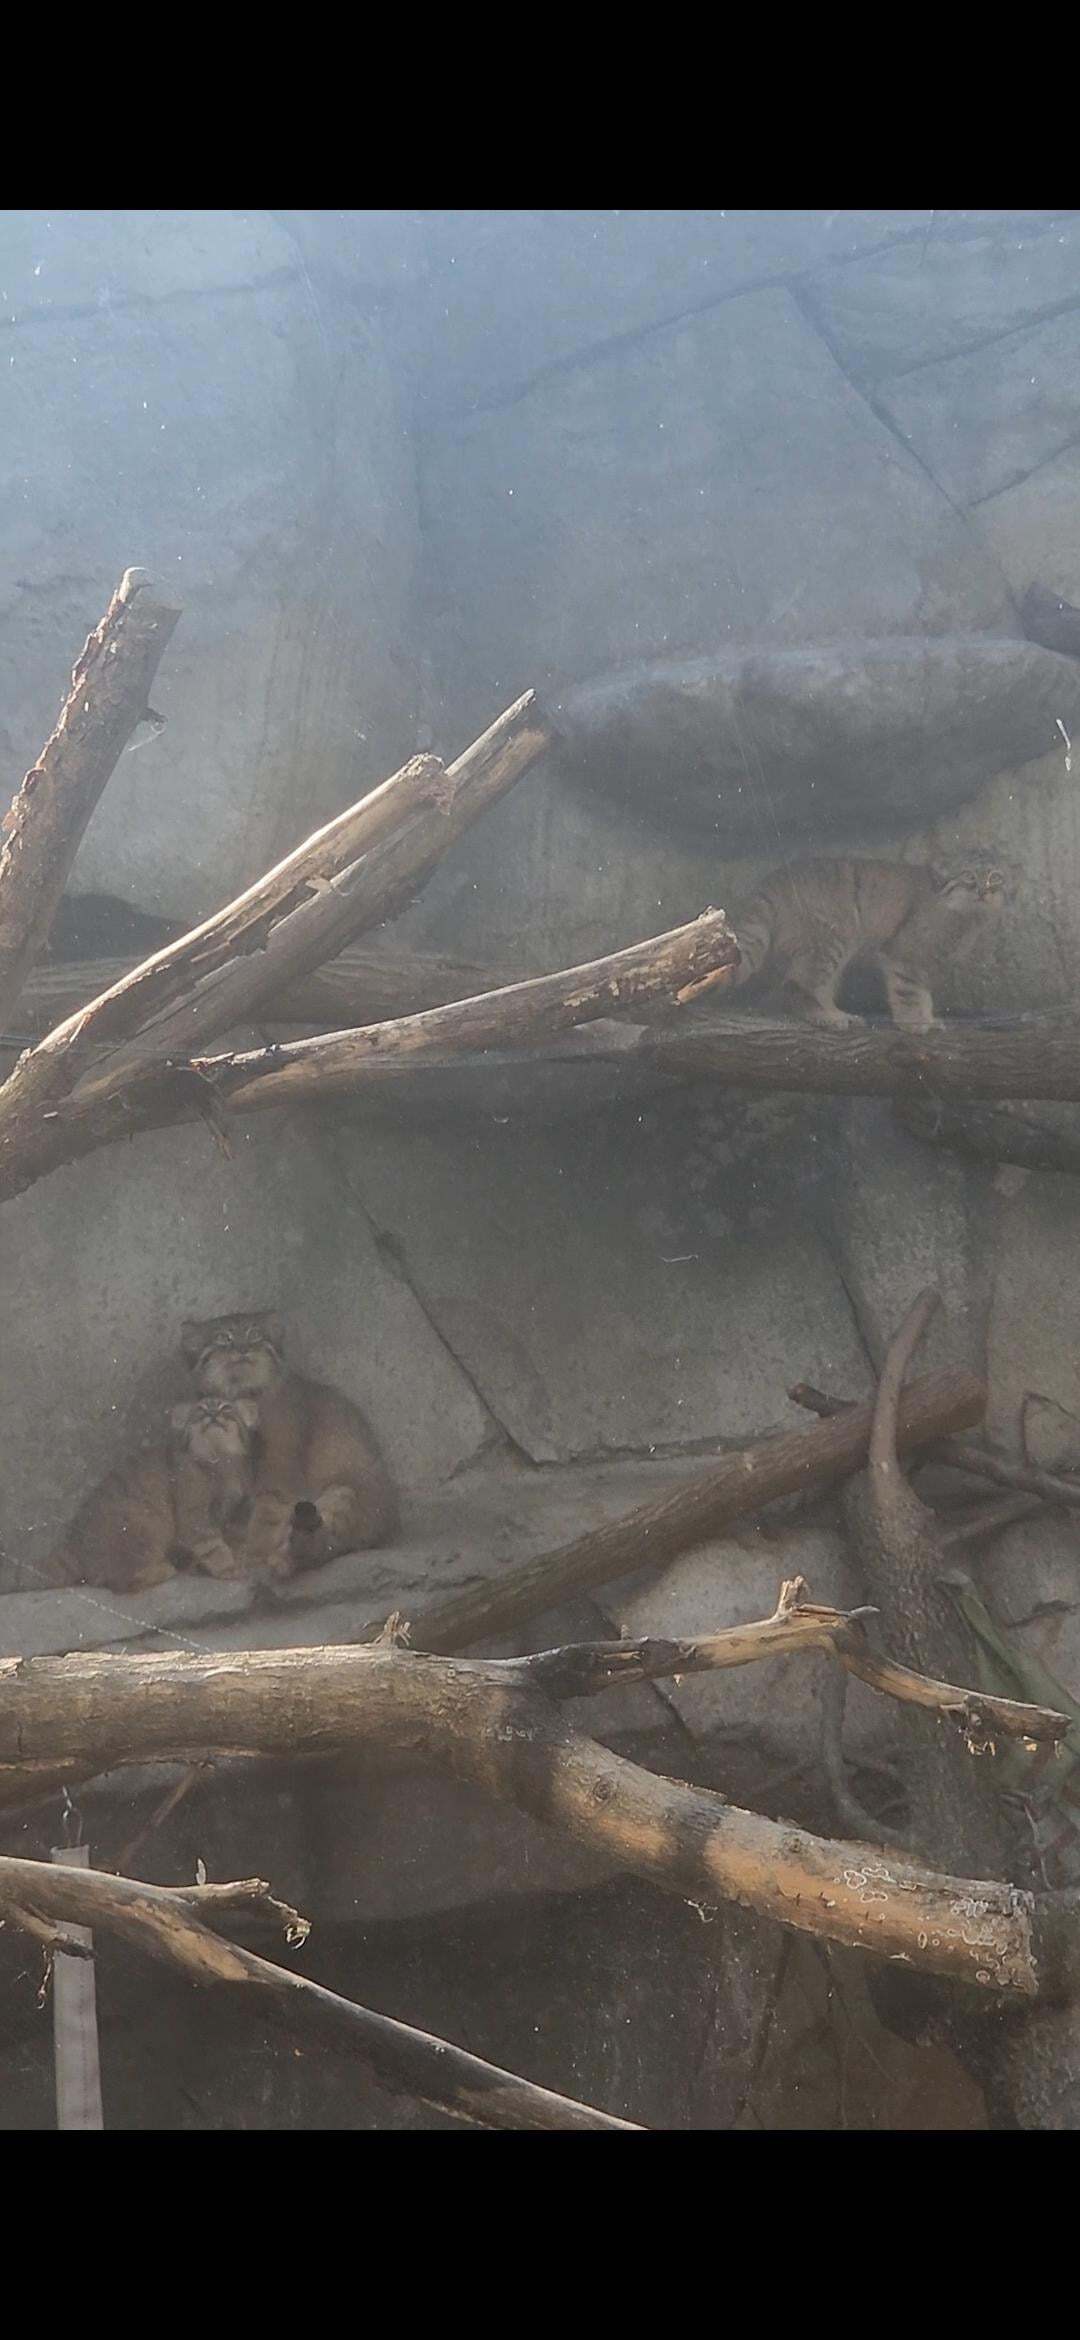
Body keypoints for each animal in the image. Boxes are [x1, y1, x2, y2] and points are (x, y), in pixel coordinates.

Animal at [50, 1394, 261, 1600]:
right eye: (200, 1409)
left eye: (226, 1407)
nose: (212, 1413)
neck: (219, 1459)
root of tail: (73, 1545)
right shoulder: (194, 1513)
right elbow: (213, 1546)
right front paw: (228, 1568)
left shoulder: (232, 1510)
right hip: (146, 1524)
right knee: (120, 1584)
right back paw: (163, 1569)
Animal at [729, 847, 1009, 1020]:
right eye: (969, 876)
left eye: (995, 877)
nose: (984, 891)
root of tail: (772, 879)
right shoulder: (905, 954)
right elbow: (910, 993)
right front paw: (918, 1024)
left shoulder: (926, 963)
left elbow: (924, 993)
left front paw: (927, 1019)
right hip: (832, 939)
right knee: (799, 984)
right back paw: (828, 1017)